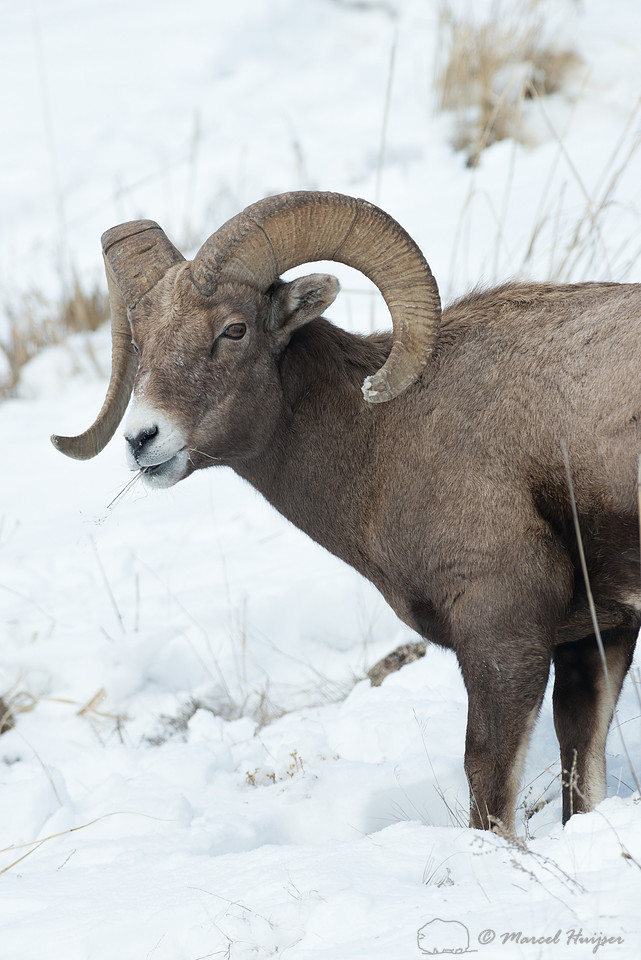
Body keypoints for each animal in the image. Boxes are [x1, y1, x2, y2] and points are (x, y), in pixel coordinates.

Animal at [52, 190, 641, 832]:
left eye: (234, 329)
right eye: (141, 343)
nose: (141, 440)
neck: (378, 437)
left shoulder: (503, 629)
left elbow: (489, 785)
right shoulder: (596, 637)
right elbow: (581, 774)